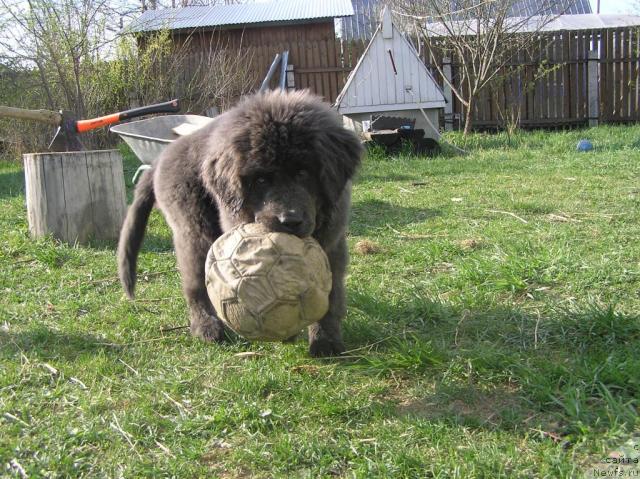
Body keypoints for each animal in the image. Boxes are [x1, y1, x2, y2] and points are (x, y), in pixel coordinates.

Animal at [117, 90, 362, 356]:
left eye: (303, 173)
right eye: (261, 180)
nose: (289, 220)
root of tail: (161, 158)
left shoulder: (332, 244)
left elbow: (331, 296)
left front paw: (326, 340)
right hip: (194, 230)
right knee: (195, 284)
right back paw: (206, 327)